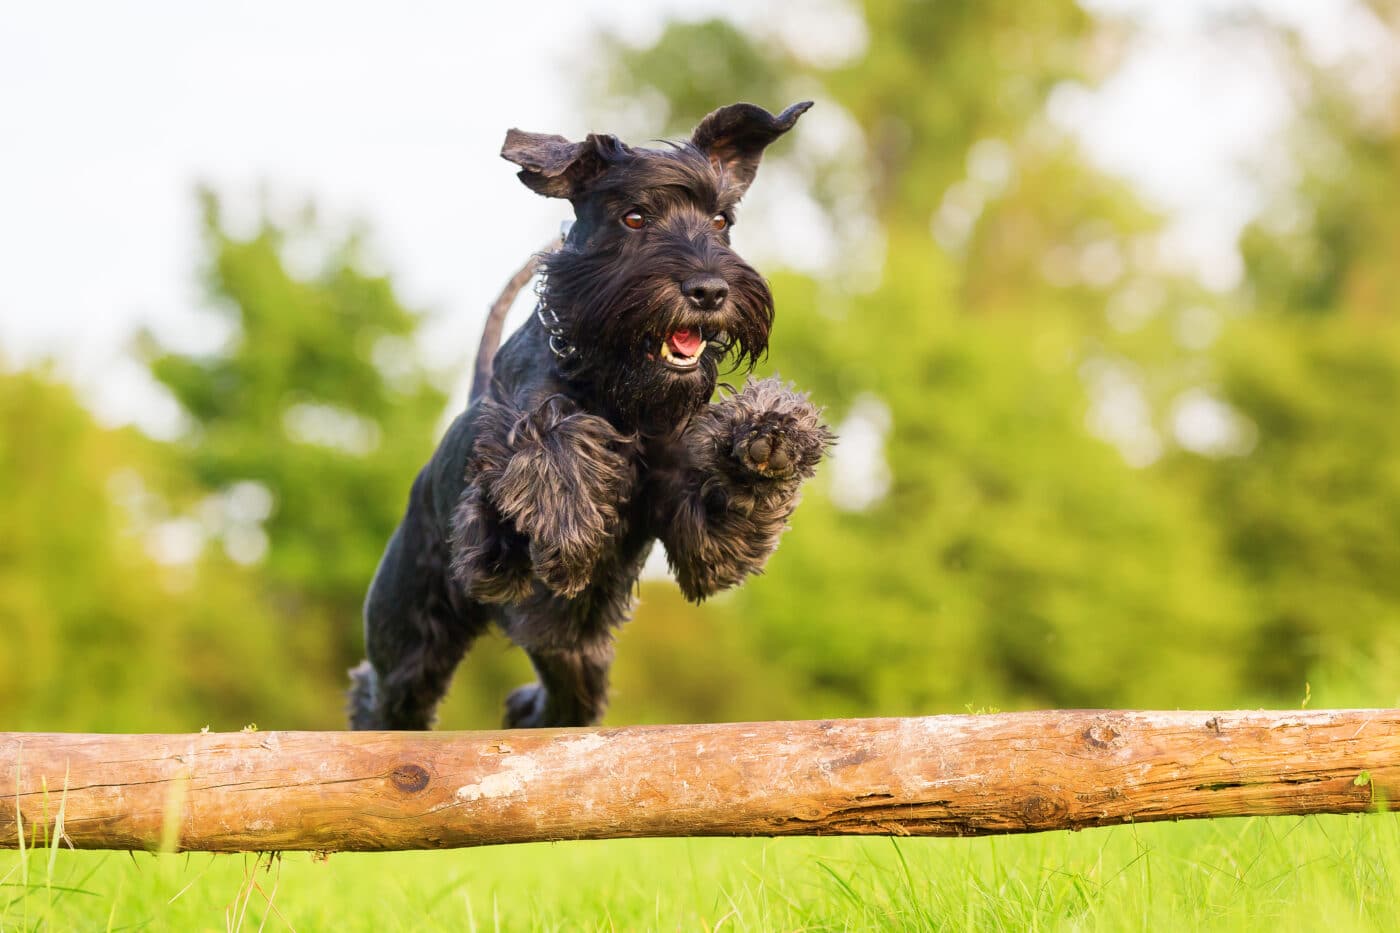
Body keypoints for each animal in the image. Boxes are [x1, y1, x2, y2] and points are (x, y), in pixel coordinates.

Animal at [350, 100, 828, 728]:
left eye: (722, 220)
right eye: (634, 217)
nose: (709, 290)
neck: (621, 393)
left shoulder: (703, 535)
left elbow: (726, 520)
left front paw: (771, 435)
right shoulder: (485, 534)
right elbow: (545, 438)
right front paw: (574, 514)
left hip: (576, 663)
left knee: (551, 706)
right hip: (409, 640)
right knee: (381, 691)